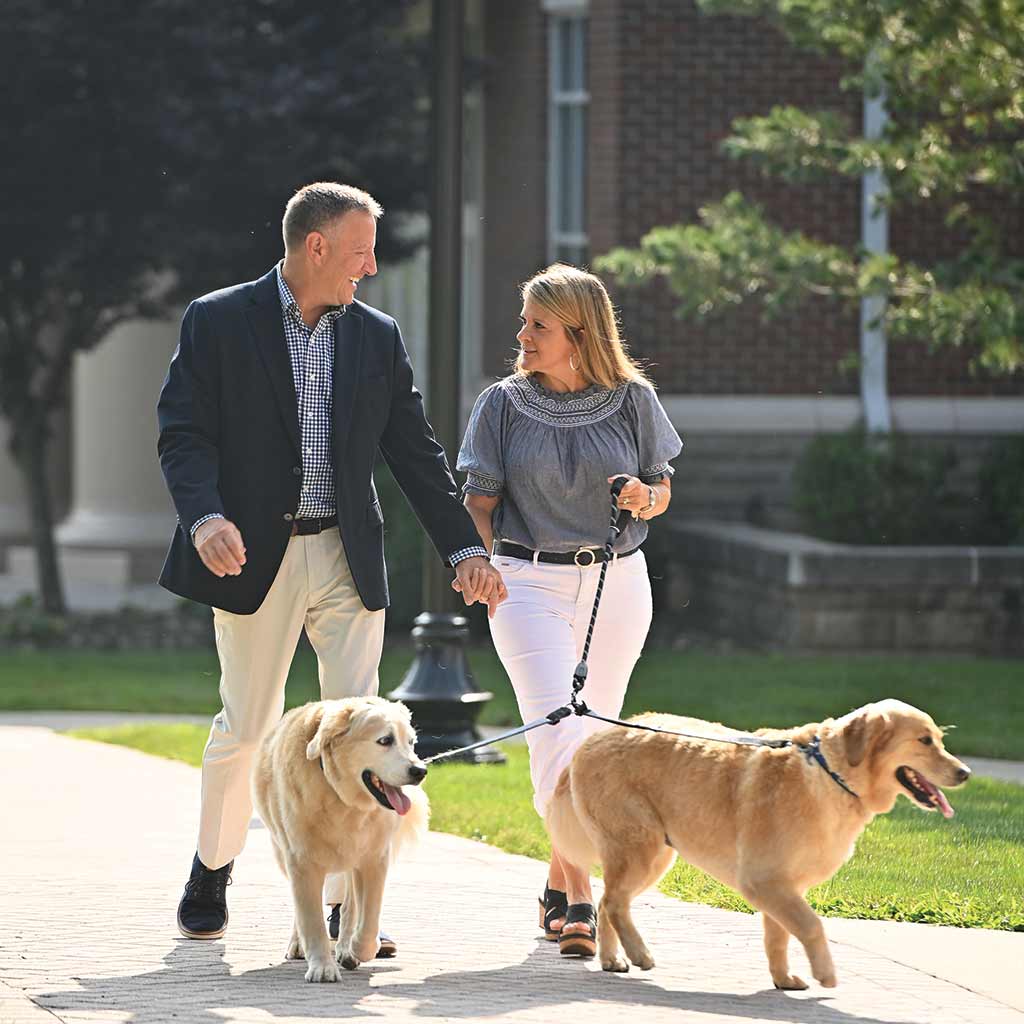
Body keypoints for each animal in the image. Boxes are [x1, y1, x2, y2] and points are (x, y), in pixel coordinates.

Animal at [251, 700, 428, 978]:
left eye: (411, 742)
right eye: (385, 740)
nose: (420, 770)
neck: (344, 800)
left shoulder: (374, 858)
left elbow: (369, 915)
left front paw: (360, 947)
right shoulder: (301, 861)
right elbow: (311, 920)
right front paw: (322, 966)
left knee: (349, 906)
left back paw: (347, 947)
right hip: (283, 854)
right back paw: (299, 944)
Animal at [544, 700, 966, 987]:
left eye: (940, 740)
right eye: (924, 741)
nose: (965, 772)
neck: (829, 772)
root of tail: (589, 742)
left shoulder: (781, 886)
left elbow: (778, 937)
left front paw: (784, 980)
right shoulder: (765, 880)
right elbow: (812, 925)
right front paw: (825, 973)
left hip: (651, 853)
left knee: (608, 901)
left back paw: (612, 959)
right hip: (642, 849)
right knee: (614, 902)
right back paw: (639, 953)